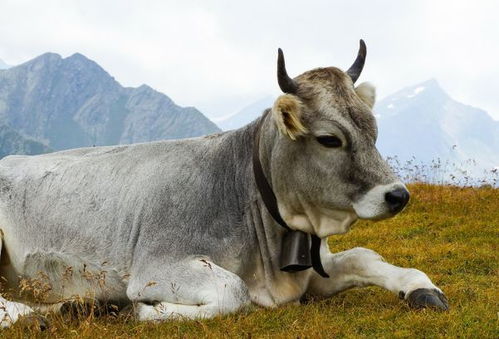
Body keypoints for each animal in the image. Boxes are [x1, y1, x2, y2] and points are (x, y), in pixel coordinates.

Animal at [0, 39, 450, 330]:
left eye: (373, 129)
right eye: (329, 139)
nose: (398, 195)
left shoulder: (311, 273)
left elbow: (364, 257)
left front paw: (421, 287)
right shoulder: (155, 266)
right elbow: (234, 293)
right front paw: (145, 312)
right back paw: (45, 314)